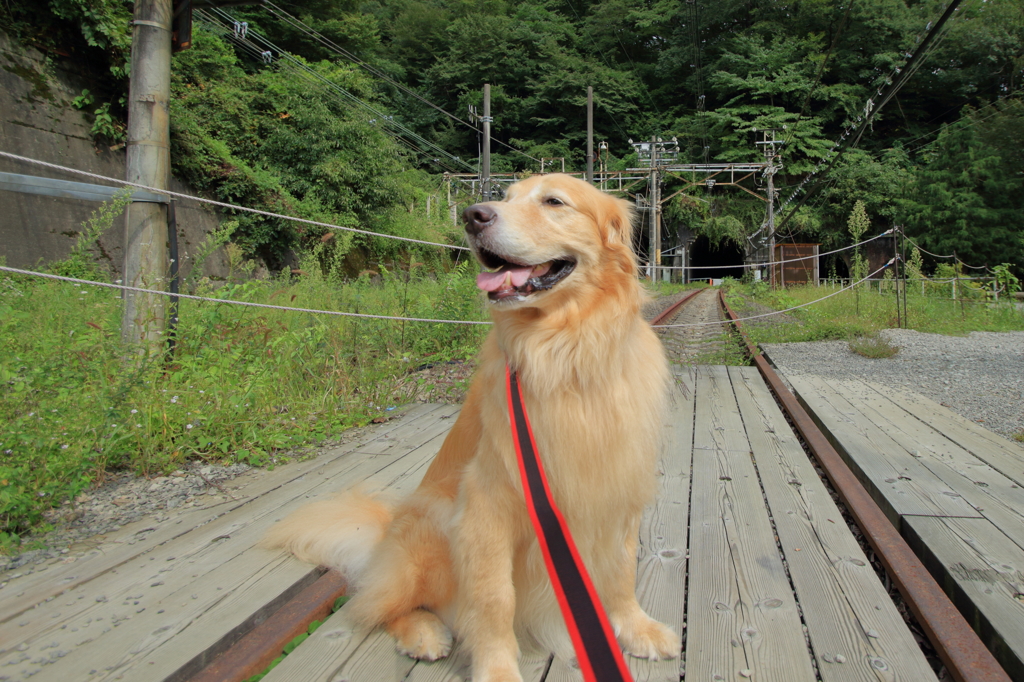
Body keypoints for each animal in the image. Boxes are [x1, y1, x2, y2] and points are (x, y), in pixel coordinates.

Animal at [266, 173, 679, 675]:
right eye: (504, 196)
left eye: (554, 201)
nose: (471, 215)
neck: (567, 350)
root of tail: (386, 534)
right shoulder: (487, 506)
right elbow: (494, 598)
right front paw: (498, 670)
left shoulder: (619, 487)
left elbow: (621, 571)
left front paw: (636, 628)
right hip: (433, 524)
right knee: (381, 605)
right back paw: (424, 633)